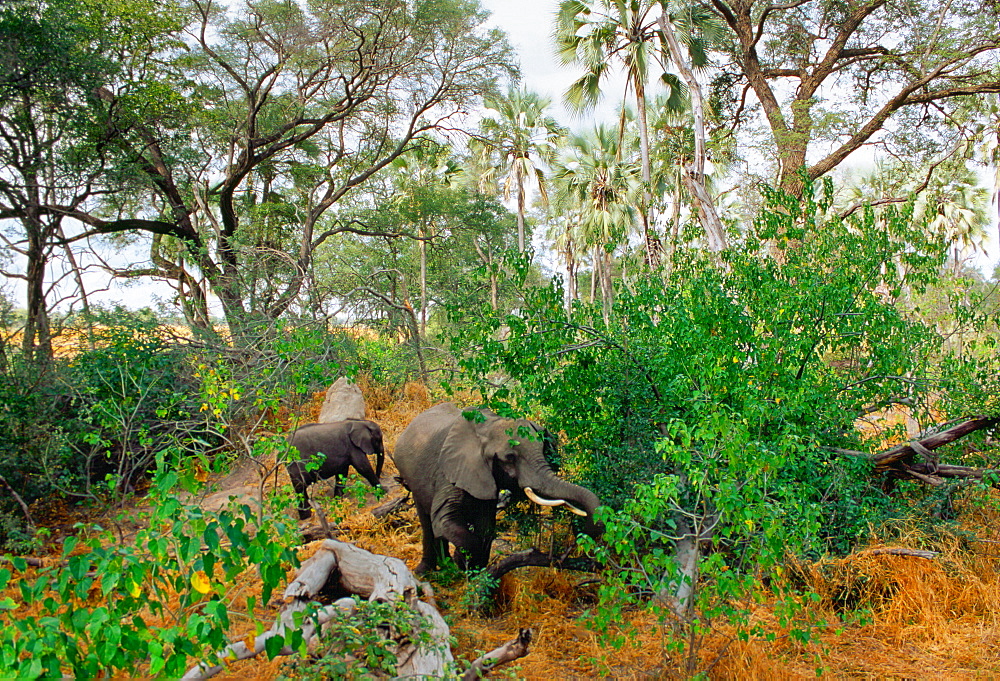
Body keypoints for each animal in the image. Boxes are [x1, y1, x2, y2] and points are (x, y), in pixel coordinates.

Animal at [392, 404, 600, 572]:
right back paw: (425, 571)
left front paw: (475, 571)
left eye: (543, 449)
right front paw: (463, 560)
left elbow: (486, 526)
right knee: (427, 521)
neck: (490, 426)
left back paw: (446, 567)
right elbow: (444, 517)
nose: (585, 532)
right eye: (509, 457)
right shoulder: (449, 471)